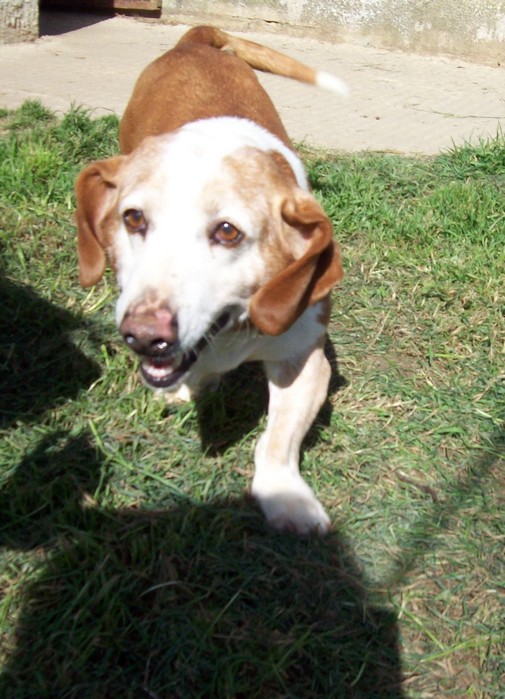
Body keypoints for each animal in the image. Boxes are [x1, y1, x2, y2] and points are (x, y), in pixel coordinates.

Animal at [75, 24, 346, 532]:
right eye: (134, 219)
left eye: (227, 231)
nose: (144, 335)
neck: (232, 333)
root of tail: (196, 40)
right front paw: (189, 384)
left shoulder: (304, 358)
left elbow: (276, 441)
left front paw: (287, 497)